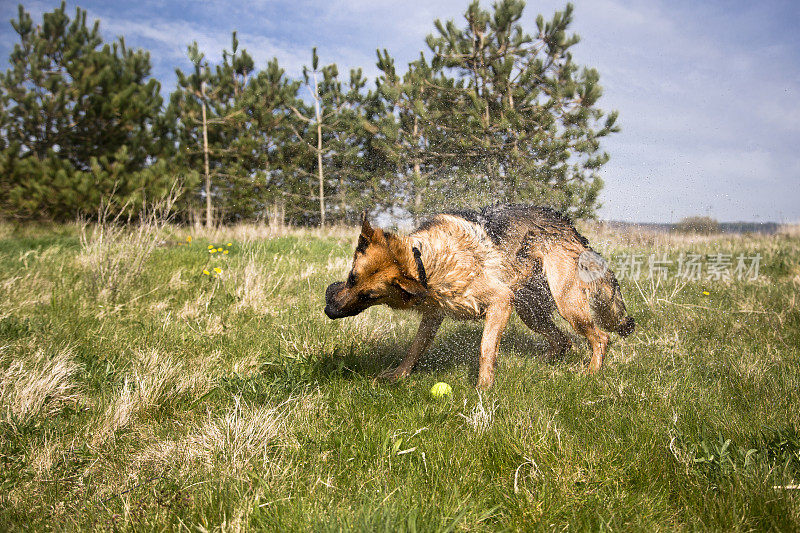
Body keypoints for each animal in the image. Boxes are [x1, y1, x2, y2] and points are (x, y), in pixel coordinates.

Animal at [322, 203, 636, 386]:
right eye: (352, 279)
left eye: (369, 296)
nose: (329, 311)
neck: (426, 262)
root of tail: (571, 229)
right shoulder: (433, 316)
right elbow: (415, 347)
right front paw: (400, 374)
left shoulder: (500, 302)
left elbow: (486, 348)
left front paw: (484, 388)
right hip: (530, 311)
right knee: (563, 340)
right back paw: (542, 363)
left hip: (566, 304)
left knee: (600, 337)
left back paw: (590, 372)